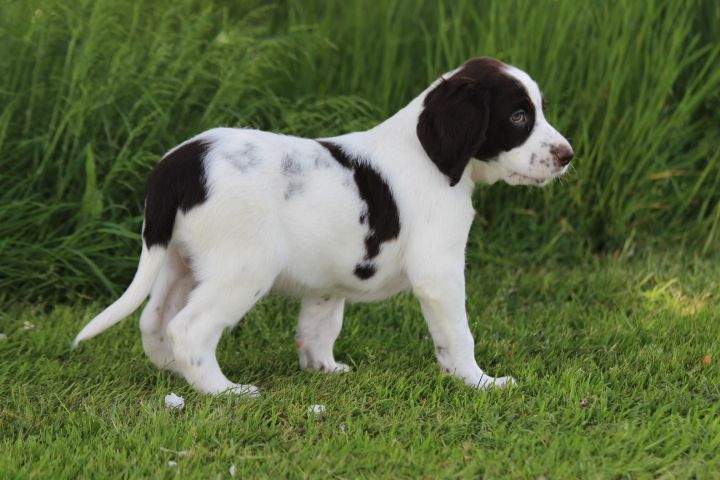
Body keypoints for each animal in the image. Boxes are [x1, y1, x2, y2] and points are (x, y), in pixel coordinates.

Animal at [73, 57, 573, 396]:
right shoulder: (439, 274)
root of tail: (178, 165)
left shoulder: (327, 282)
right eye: (518, 117)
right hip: (244, 269)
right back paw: (224, 391)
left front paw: (324, 370)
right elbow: (458, 335)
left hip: (178, 260)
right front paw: (479, 381)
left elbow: (319, 328)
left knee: (154, 321)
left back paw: (179, 373)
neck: (430, 156)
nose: (568, 156)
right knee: (188, 328)